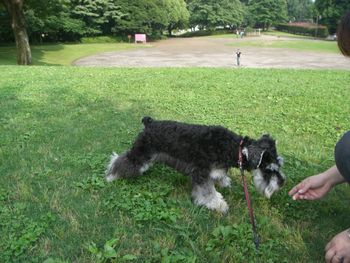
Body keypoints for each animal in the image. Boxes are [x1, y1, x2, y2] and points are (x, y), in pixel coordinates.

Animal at [106, 116, 284, 213]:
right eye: (269, 169)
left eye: (279, 165)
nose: (281, 183)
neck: (234, 148)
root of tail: (149, 122)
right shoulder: (201, 173)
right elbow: (207, 192)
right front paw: (218, 204)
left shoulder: (213, 171)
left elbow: (218, 179)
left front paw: (223, 186)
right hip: (141, 153)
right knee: (122, 160)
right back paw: (110, 176)